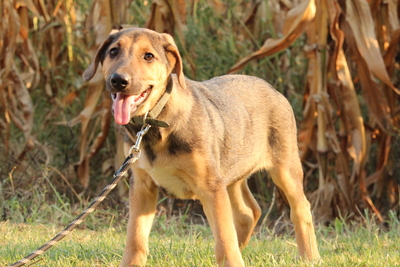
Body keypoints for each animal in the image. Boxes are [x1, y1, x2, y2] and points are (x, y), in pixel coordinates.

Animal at [83, 28, 320, 266]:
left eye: (148, 56)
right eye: (113, 51)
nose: (119, 81)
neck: (155, 123)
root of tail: (272, 88)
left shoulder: (210, 187)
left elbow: (224, 240)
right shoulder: (142, 185)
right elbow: (135, 238)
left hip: (284, 169)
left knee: (301, 209)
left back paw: (310, 256)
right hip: (231, 172)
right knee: (248, 213)